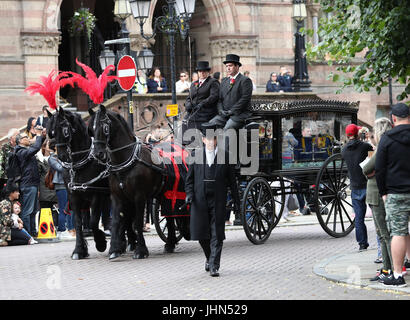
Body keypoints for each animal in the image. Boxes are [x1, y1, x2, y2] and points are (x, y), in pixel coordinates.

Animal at [48, 107, 119, 260]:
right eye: (51, 132)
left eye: (65, 128)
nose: (62, 156)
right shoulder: (74, 195)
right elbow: (77, 222)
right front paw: (79, 250)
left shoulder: (95, 194)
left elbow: (93, 221)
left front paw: (100, 242)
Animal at [89, 105, 190, 260]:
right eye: (91, 129)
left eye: (105, 126)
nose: (97, 154)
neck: (127, 161)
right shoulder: (117, 197)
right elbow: (116, 221)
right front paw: (114, 249)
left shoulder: (139, 197)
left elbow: (137, 223)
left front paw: (141, 250)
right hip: (165, 193)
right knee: (169, 216)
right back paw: (170, 243)